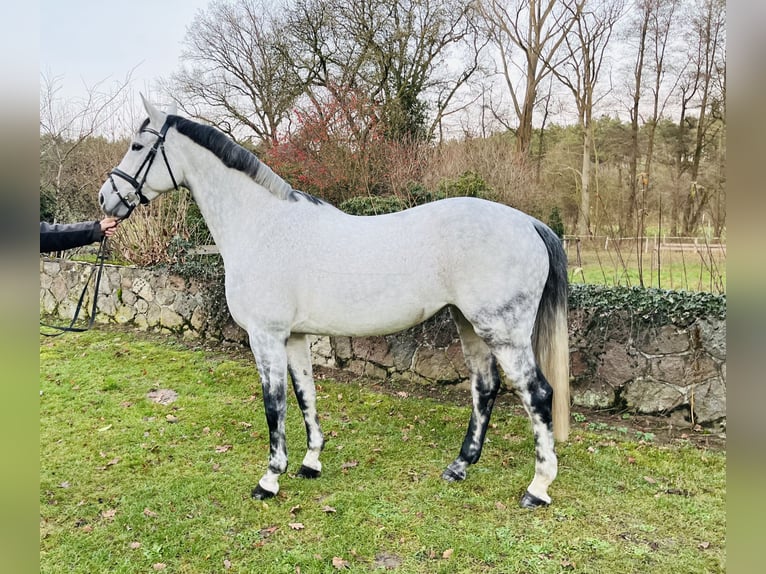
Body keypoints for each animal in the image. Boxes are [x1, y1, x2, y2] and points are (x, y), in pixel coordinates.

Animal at [99, 96, 570, 508]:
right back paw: (459, 466)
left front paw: (269, 479)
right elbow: (304, 393)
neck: (262, 225)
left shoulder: (265, 336)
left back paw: (538, 488)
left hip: (502, 331)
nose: (106, 199)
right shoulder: (294, 336)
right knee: (485, 387)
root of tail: (528, 223)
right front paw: (310, 462)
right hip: (469, 324)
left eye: (138, 146)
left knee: (537, 394)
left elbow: (274, 404)